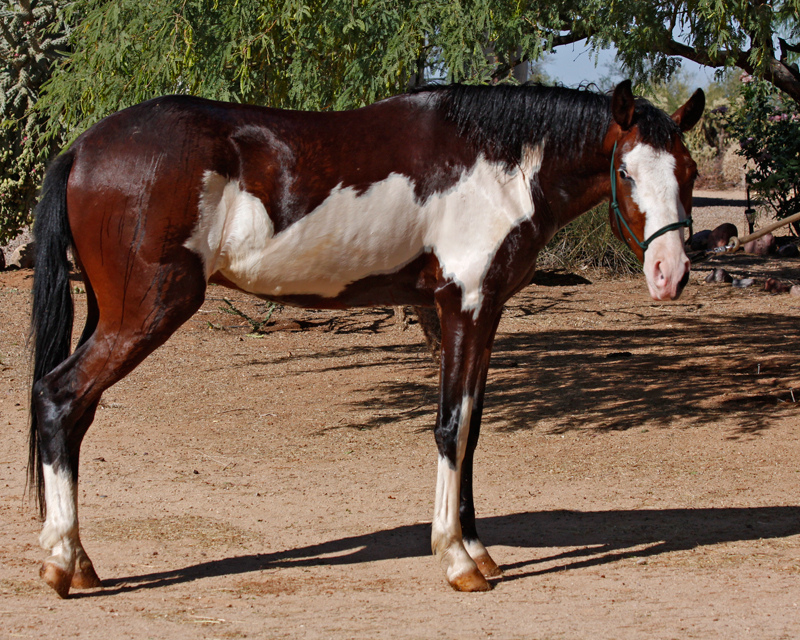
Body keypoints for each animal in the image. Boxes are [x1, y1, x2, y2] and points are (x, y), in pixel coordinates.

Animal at [28, 80, 704, 596]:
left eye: (689, 172)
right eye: (625, 171)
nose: (669, 273)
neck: (496, 166)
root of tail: (84, 147)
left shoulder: (475, 315)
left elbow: (472, 429)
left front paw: (479, 552)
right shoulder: (463, 307)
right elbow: (451, 427)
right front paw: (455, 560)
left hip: (113, 316)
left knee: (76, 415)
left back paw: (81, 562)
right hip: (147, 312)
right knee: (57, 398)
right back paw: (60, 561)